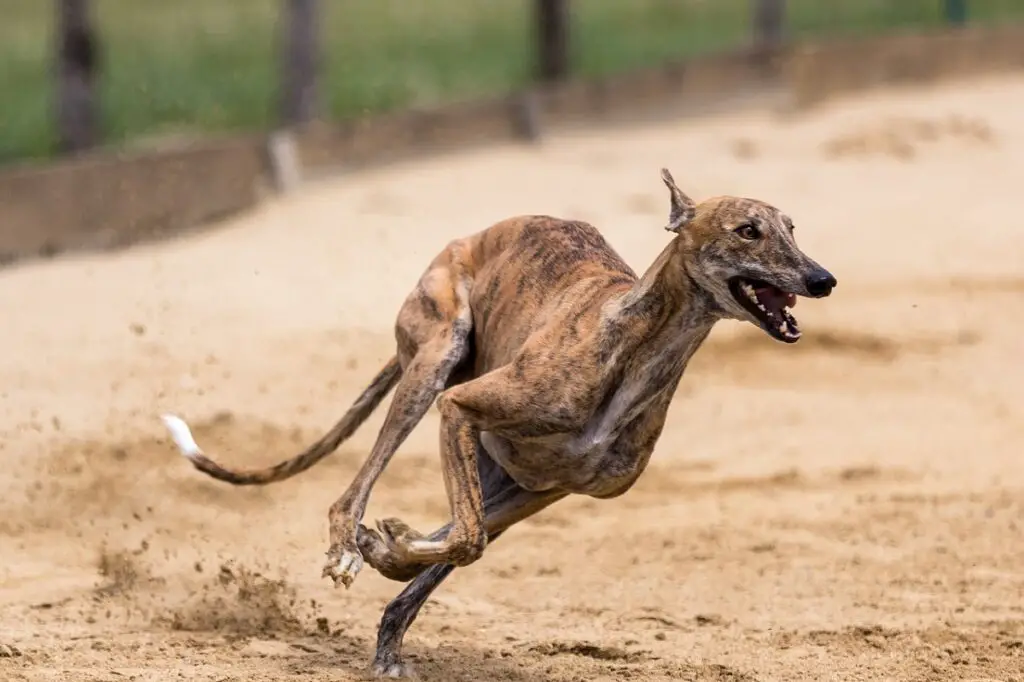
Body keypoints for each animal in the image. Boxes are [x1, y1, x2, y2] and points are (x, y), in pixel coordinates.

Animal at [159, 168, 831, 675]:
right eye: (748, 231)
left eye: (792, 229)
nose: (822, 279)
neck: (635, 343)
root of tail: (472, 236)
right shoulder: (461, 408)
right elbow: (466, 538)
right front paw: (377, 544)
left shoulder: (547, 486)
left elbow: (460, 541)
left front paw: (390, 547)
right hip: (434, 361)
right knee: (358, 489)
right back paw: (347, 544)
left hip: (490, 462)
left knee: (448, 540)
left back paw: (386, 624)